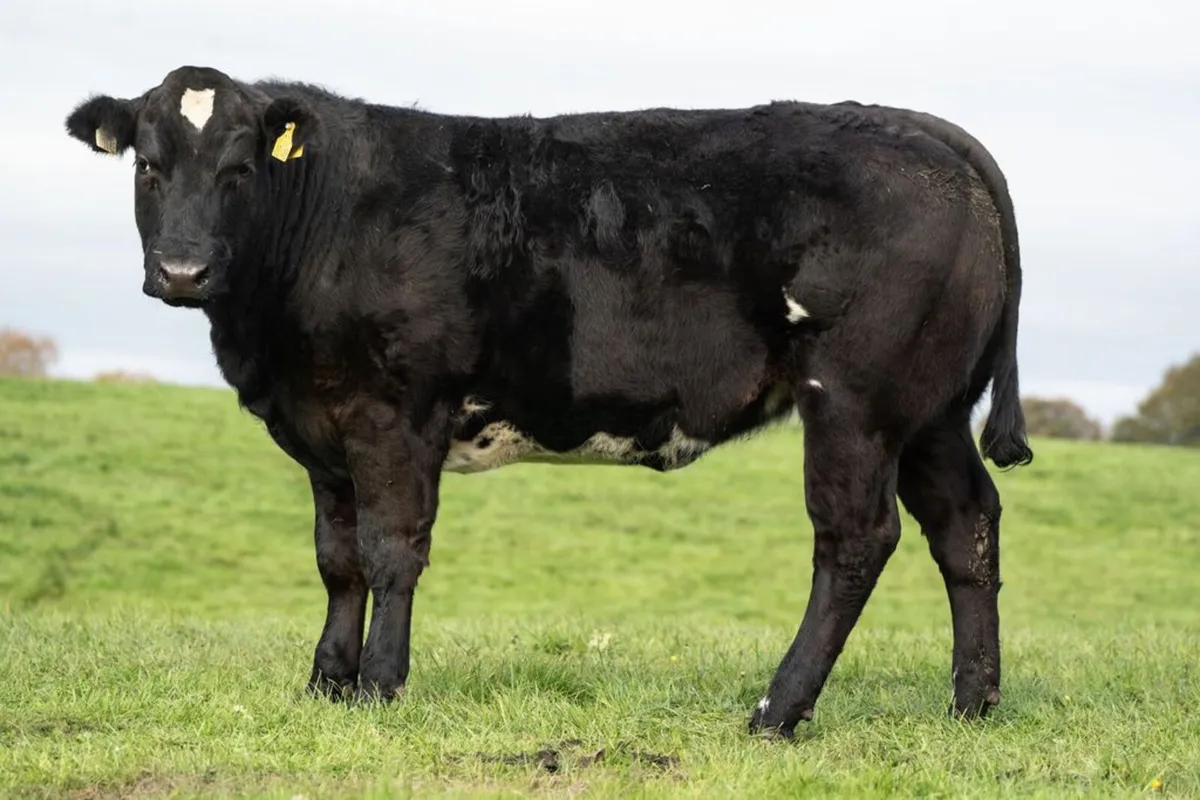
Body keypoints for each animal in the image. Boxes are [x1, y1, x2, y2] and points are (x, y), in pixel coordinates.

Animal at [64, 65, 1033, 739]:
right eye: (149, 167)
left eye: (239, 168)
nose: (183, 270)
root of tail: (908, 123)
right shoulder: (325, 427)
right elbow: (336, 560)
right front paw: (325, 684)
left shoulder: (395, 415)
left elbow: (390, 552)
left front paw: (379, 685)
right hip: (929, 411)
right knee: (967, 525)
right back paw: (971, 703)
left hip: (856, 403)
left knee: (855, 540)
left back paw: (776, 710)